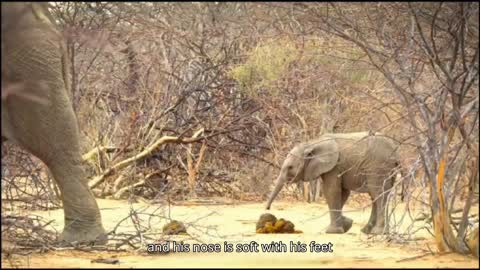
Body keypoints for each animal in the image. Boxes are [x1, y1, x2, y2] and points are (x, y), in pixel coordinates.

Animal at [266, 131, 402, 234]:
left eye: (290, 167)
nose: (267, 208)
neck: (311, 143)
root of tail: (395, 150)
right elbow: (343, 193)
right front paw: (347, 224)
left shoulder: (334, 166)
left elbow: (331, 191)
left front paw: (333, 231)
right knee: (376, 195)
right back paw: (367, 231)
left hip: (378, 166)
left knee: (378, 193)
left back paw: (378, 232)